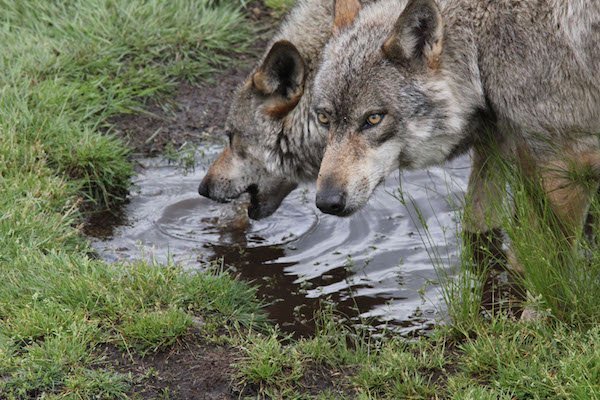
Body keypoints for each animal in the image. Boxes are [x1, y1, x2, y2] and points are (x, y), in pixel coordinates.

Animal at [312, 0, 596, 247]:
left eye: (373, 119)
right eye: (324, 118)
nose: (326, 202)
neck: (482, 46)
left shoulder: (564, 165)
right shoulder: (495, 146)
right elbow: (477, 230)